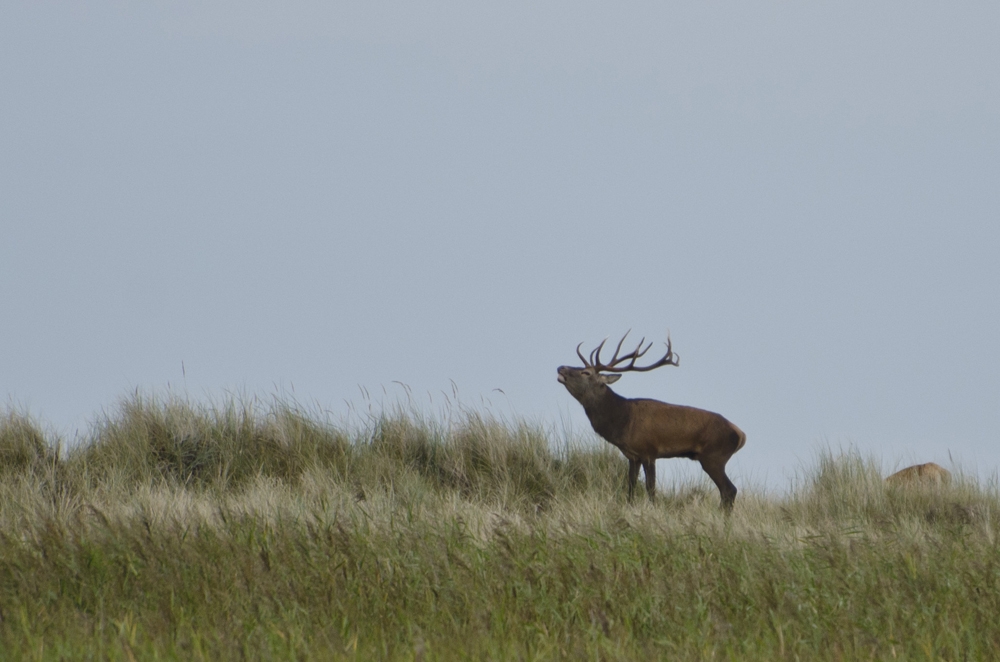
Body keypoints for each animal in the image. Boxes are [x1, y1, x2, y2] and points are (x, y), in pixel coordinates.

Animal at [557, 332, 746, 511]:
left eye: (586, 372)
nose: (560, 367)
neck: (622, 421)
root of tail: (741, 434)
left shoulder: (649, 451)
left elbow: (650, 487)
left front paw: (653, 510)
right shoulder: (633, 456)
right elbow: (631, 486)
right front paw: (630, 507)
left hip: (714, 456)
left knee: (729, 490)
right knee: (727, 492)